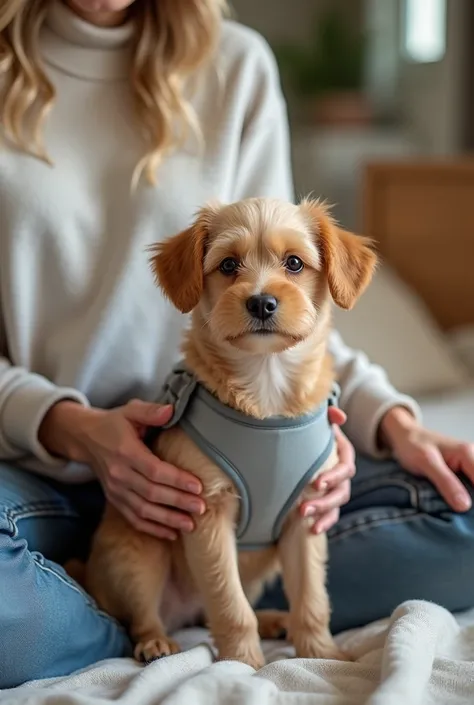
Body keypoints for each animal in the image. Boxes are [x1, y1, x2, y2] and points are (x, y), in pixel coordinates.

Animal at [84, 195, 374, 668]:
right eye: (228, 265)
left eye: (294, 263)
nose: (261, 303)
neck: (267, 382)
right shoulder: (207, 513)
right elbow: (228, 603)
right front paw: (243, 663)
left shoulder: (307, 515)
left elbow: (311, 599)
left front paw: (321, 655)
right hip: (137, 553)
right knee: (146, 615)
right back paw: (157, 642)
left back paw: (275, 619)